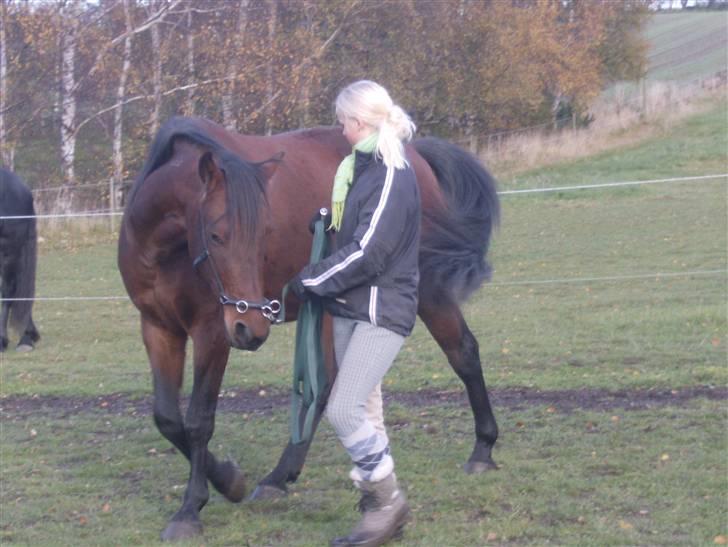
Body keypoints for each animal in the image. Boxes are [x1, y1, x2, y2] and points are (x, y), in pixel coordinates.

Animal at [118, 115, 500, 540]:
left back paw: (482, 450)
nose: (251, 327)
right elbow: (168, 418)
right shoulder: (158, 327)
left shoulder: (212, 332)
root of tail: (413, 157)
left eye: (264, 235)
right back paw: (278, 478)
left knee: (462, 352)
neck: (162, 250)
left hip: (427, 289)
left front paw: (195, 506)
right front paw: (227, 478)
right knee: (329, 386)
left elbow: (199, 420)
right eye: (216, 235)